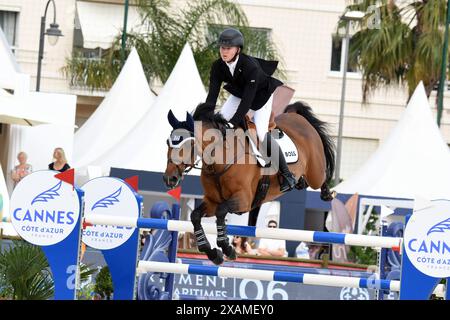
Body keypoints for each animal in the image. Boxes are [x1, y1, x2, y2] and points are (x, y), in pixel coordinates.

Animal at [163, 102, 336, 264]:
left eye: (189, 144)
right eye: (167, 142)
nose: (169, 178)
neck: (219, 161)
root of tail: (299, 118)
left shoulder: (243, 201)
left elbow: (221, 211)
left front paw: (227, 248)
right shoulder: (212, 201)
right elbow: (195, 215)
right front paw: (211, 252)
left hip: (315, 173)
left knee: (322, 177)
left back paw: (327, 193)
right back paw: (298, 182)